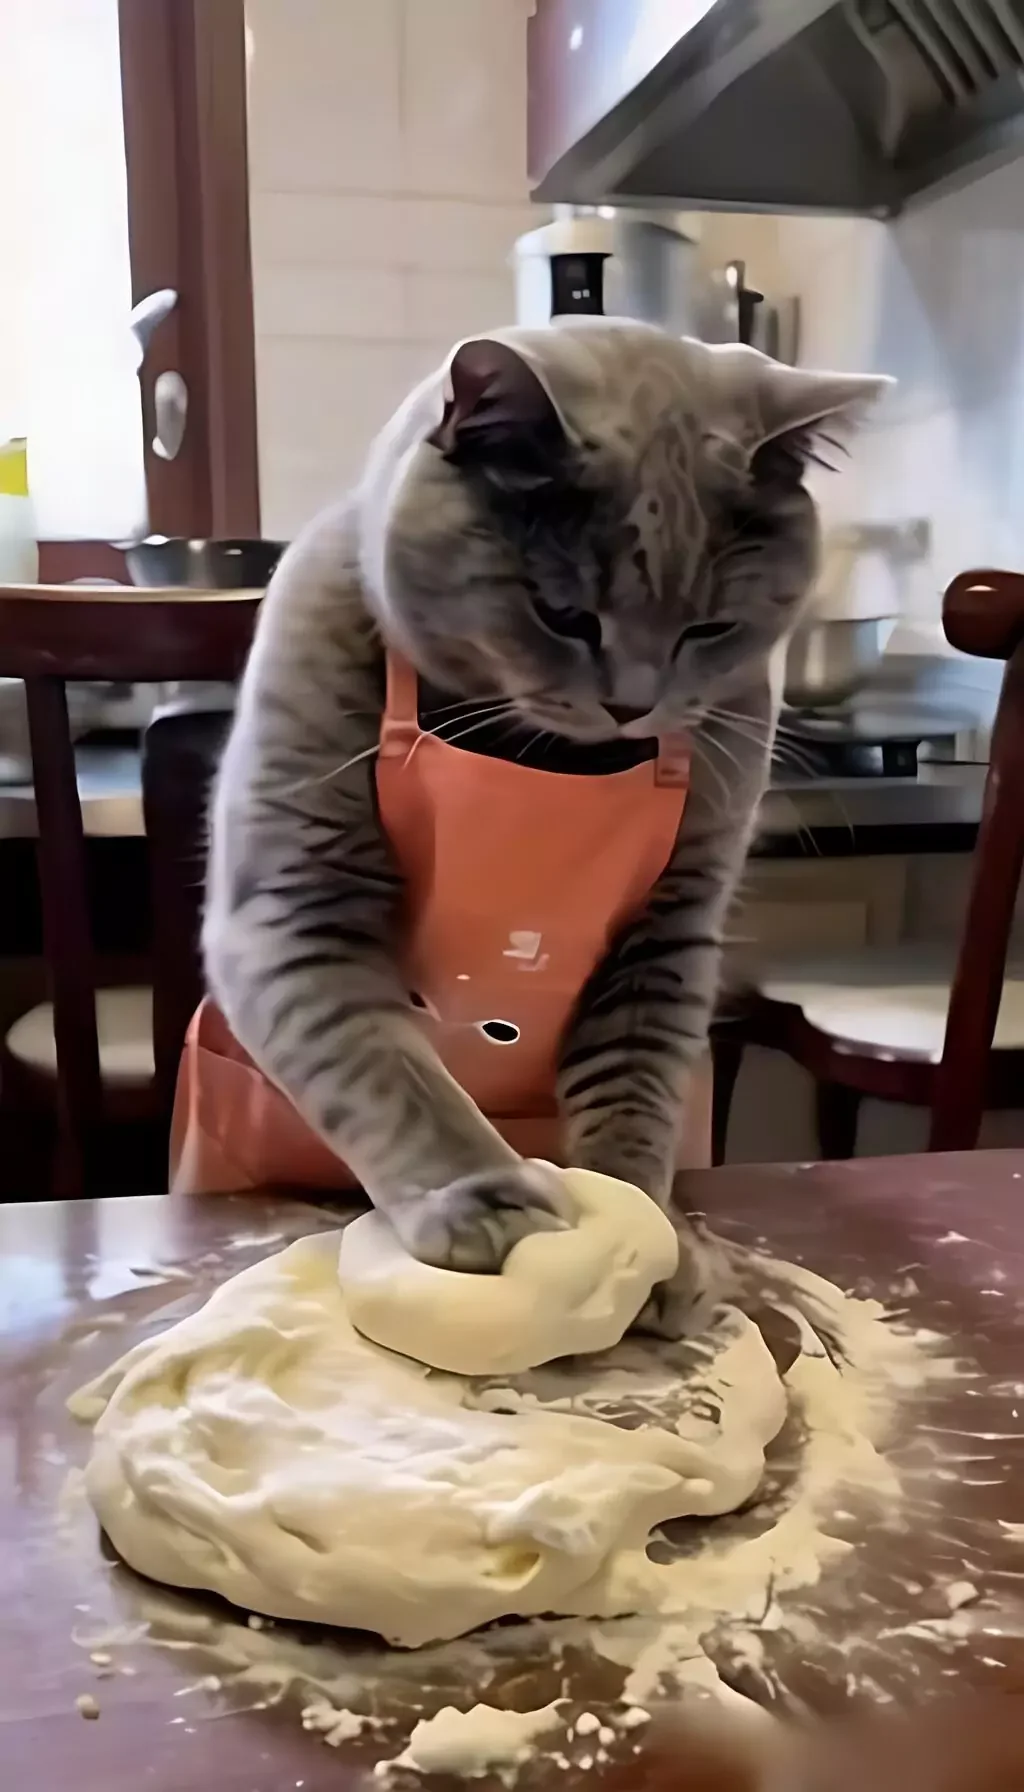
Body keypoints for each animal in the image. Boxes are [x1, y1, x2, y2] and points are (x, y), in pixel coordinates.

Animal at [202, 326, 889, 1333]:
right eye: (564, 615)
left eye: (710, 629)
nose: (633, 704)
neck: (549, 759)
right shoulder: (294, 899)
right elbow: (388, 1071)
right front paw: (483, 1202)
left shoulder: (671, 924)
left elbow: (635, 1084)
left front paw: (653, 1236)